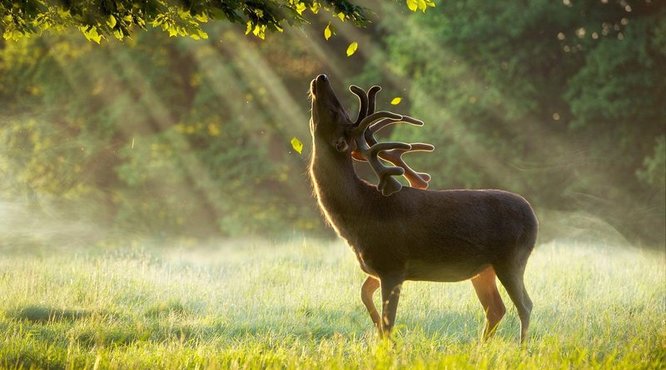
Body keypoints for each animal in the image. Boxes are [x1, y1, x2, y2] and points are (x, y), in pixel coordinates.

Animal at [308, 73, 536, 342]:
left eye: (335, 112)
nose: (321, 77)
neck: (360, 213)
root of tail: (533, 216)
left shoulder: (393, 264)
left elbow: (389, 320)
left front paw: (386, 343)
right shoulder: (377, 267)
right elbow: (365, 295)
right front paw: (376, 331)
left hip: (511, 258)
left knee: (525, 305)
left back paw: (521, 347)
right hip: (483, 269)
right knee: (496, 308)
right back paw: (482, 346)